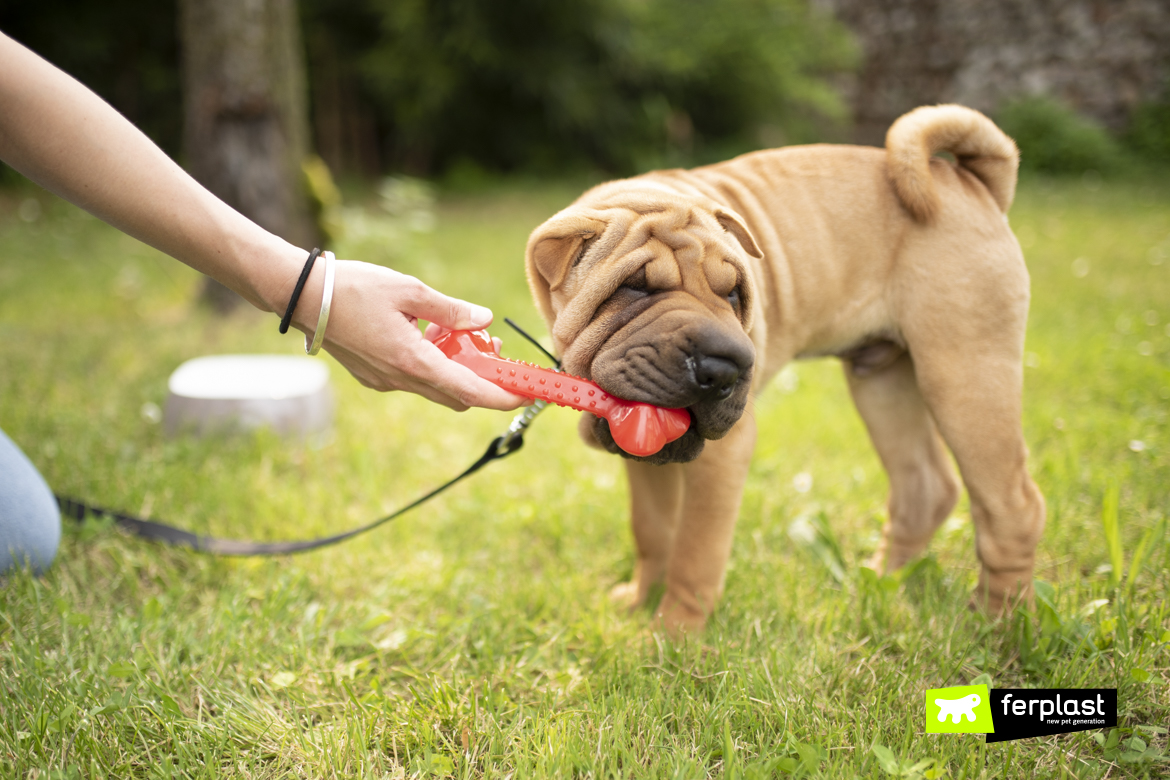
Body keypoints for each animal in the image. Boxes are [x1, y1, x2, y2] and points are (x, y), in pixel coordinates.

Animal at [526, 103, 1048, 636]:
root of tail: (971, 182)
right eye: (635, 286)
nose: (724, 367)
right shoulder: (646, 461)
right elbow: (652, 529)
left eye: (736, 293)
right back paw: (878, 583)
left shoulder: (724, 456)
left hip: (963, 373)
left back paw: (999, 620)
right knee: (924, 488)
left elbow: (695, 553)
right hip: (884, 380)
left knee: (1013, 505)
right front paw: (637, 602)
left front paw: (673, 634)